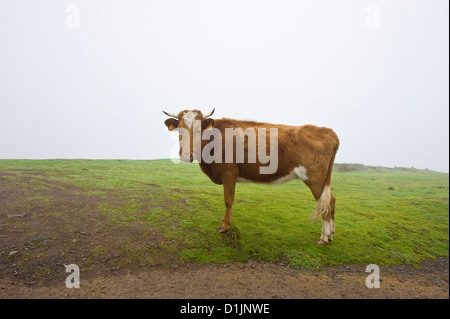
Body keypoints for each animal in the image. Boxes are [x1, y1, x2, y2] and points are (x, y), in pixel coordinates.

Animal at [163, 108, 340, 245]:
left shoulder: (229, 173)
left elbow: (228, 200)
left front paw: (225, 226)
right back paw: (331, 234)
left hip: (315, 179)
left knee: (324, 202)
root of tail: (327, 131)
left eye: (199, 129)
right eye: (179, 129)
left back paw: (324, 237)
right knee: (331, 200)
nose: (186, 155)